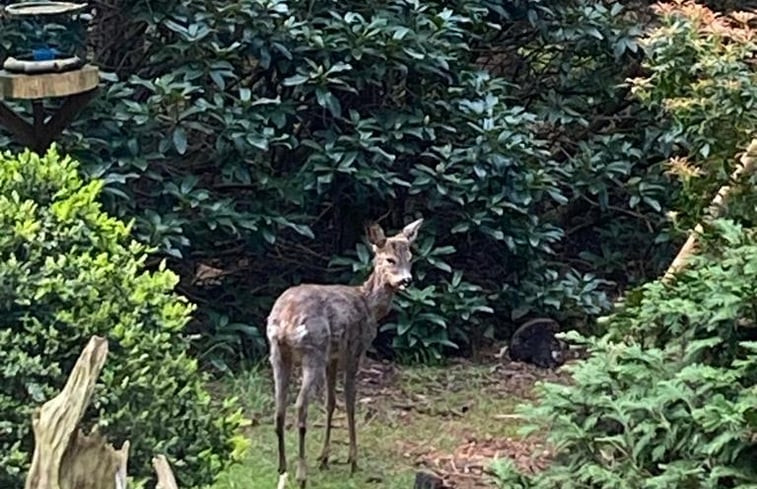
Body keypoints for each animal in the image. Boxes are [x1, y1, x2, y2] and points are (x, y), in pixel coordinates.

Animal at [266, 218, 422, 488]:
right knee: (300, 406)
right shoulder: (356, 349)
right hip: (313, 350)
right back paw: (301, 474)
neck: (370, 305)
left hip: (278, 353)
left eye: (410, 257)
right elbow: (350, 401)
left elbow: (331, 402)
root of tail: (286, 319)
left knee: (279, 408)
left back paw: (282, 468)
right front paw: (352, 460)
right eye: (390, 259)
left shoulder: (333, 356)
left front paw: (325, 458)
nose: (407, 280)